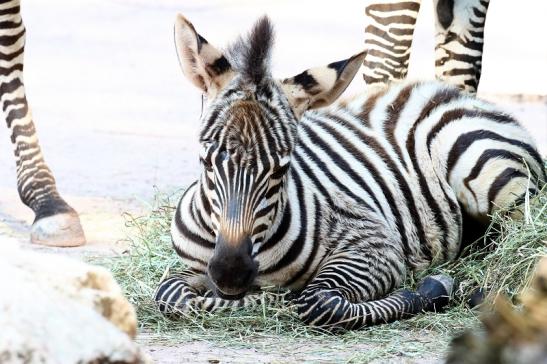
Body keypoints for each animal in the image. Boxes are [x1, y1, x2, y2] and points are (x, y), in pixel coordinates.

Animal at [154, 14, 544, 330]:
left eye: (282, 169)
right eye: (207, 162)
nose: (231, 274)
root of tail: (453, 94)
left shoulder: (375, 244)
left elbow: (319, 303)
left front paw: (432, 288)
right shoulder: (193, 268)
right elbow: (170, 293)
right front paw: (261, 297)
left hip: (491, 178)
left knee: (521, 241)